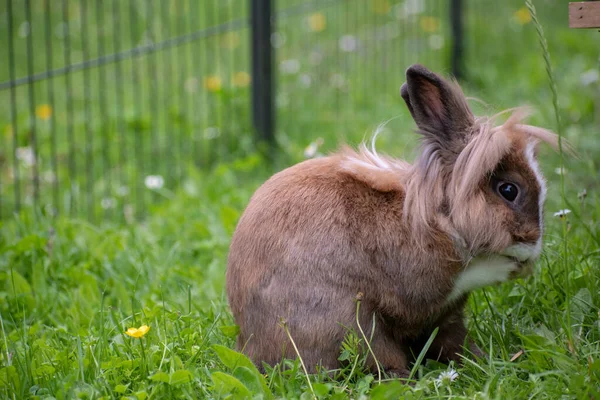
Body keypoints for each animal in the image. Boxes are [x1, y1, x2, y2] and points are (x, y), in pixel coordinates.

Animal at [225, 64, 556, 376]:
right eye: (508, 190)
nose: (534, 242)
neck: (436, 220)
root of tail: (251, 345)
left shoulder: (448, 316)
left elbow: (453, 340)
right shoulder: (426, 284)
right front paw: (512, 267)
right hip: (356, 325)